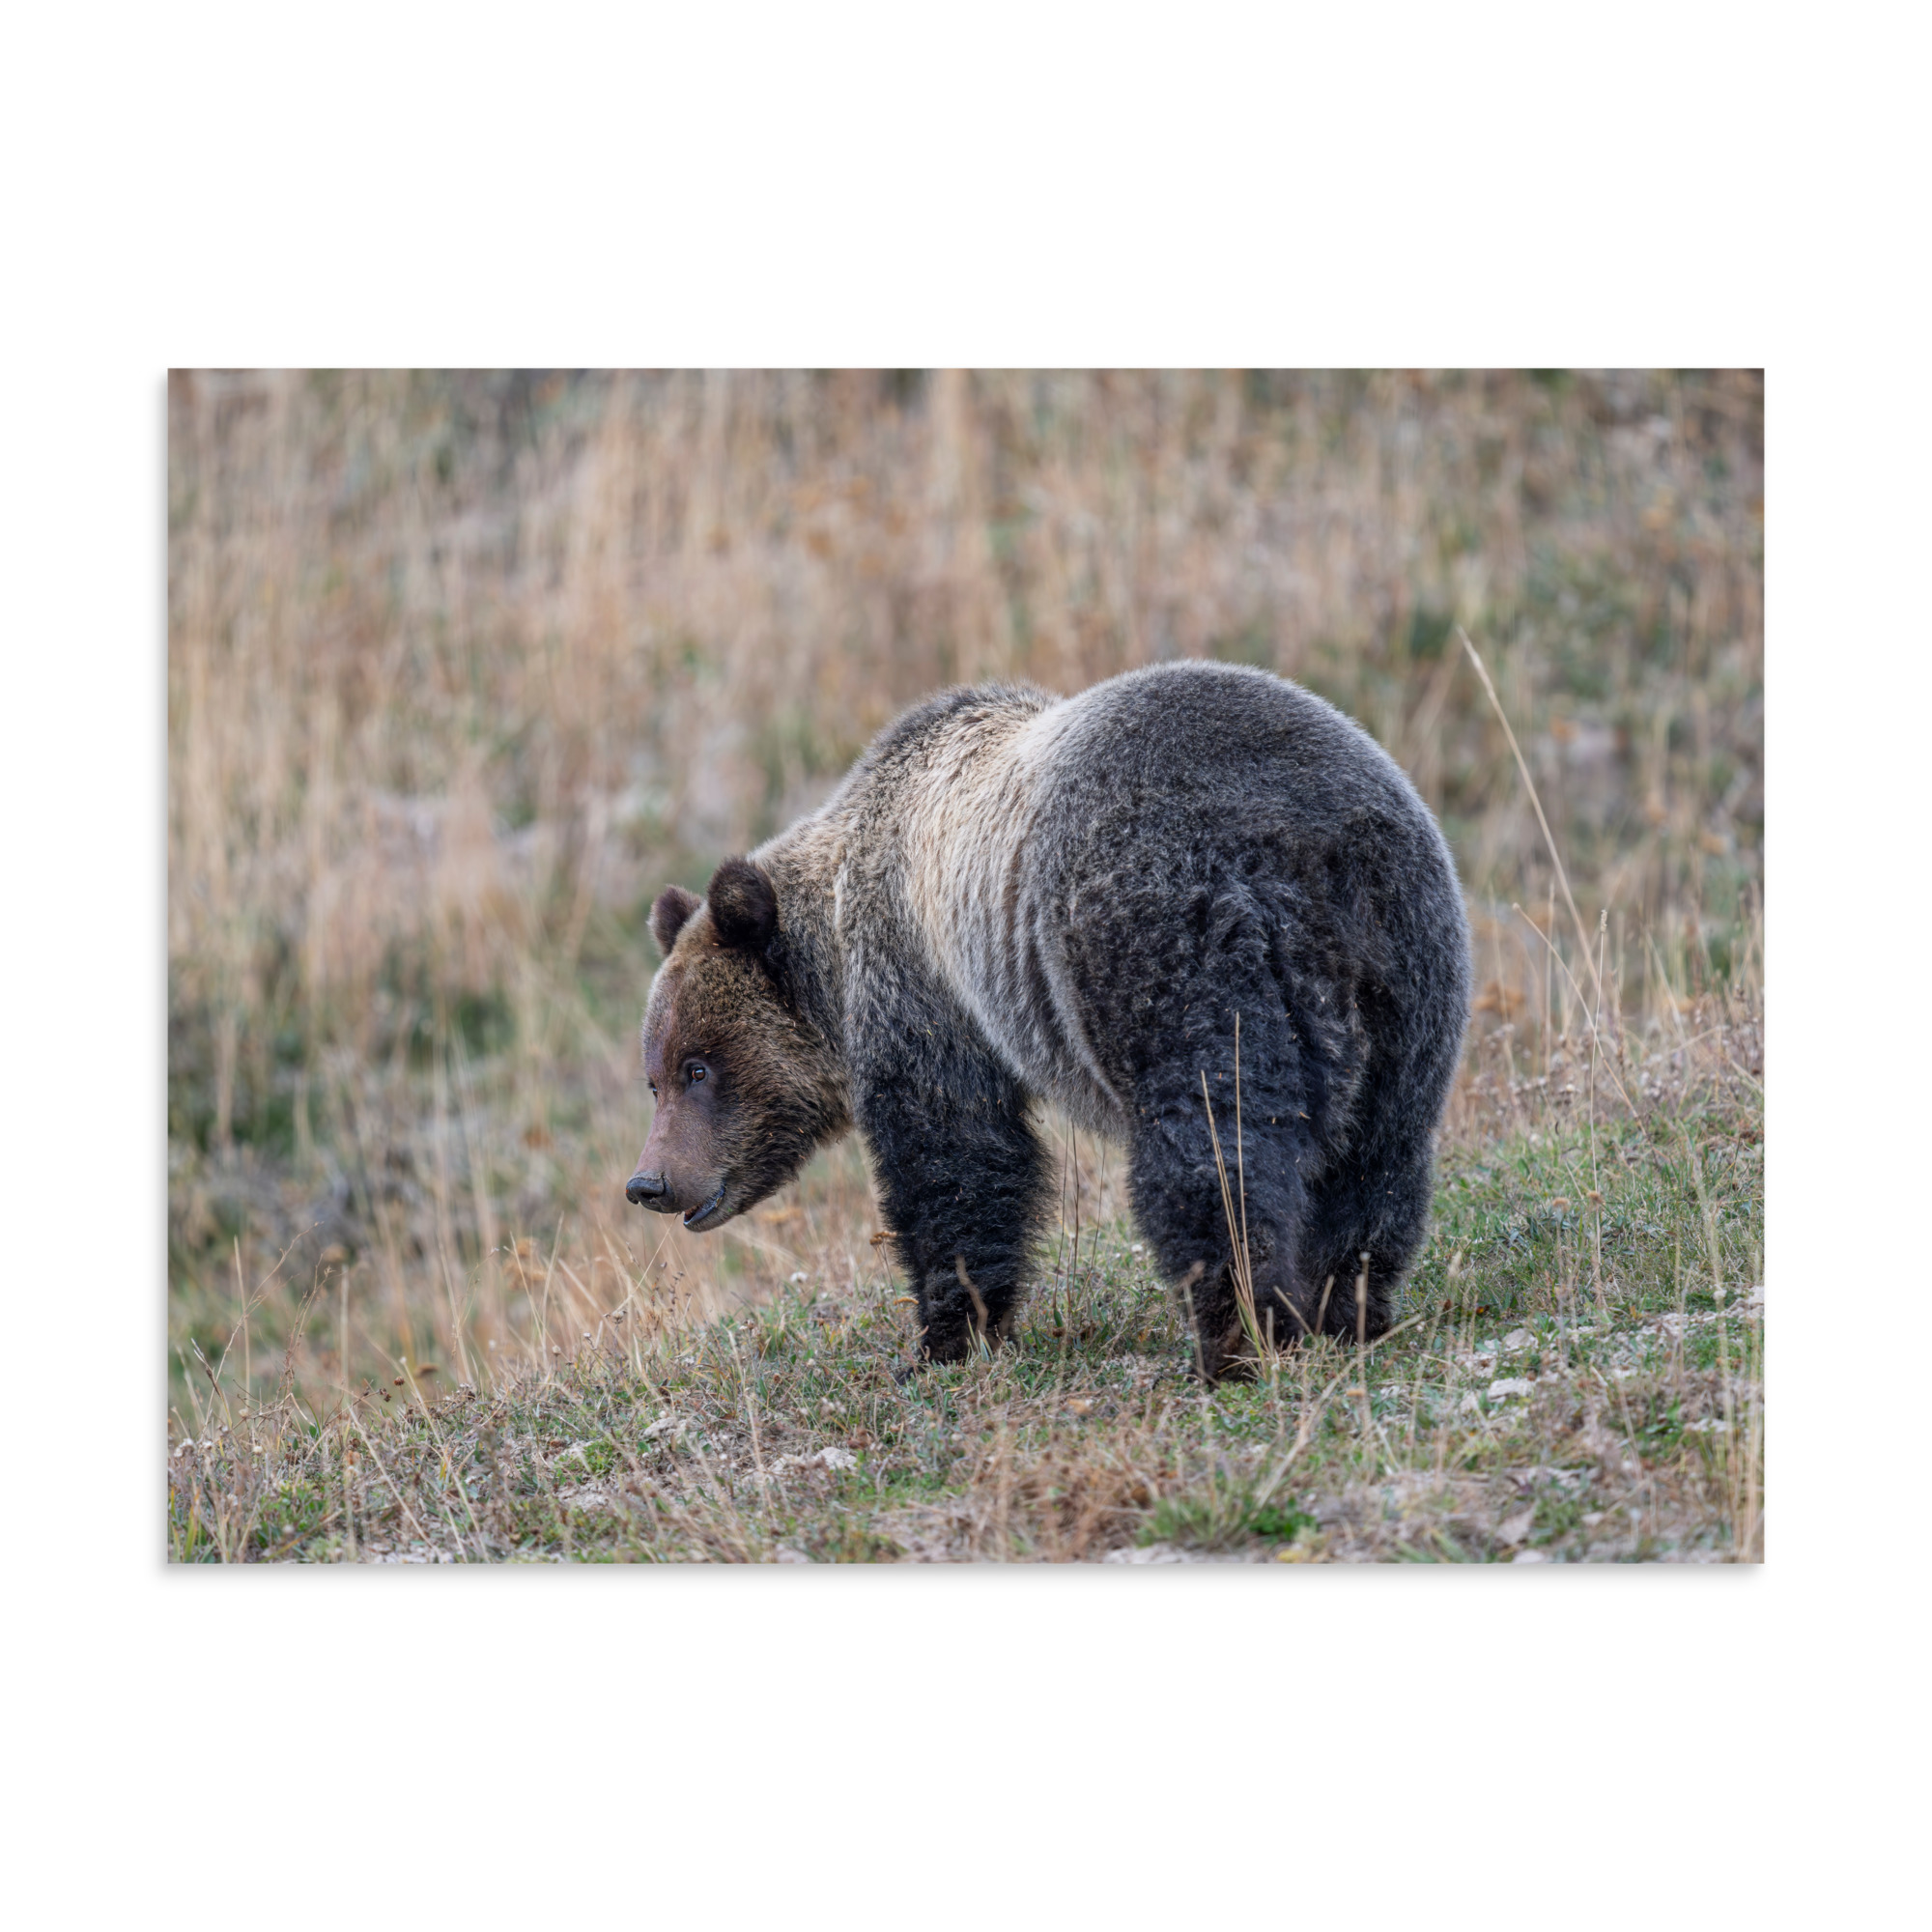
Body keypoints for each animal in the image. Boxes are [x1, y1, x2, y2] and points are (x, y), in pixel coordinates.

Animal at [626, 659, 1471, 1381]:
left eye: (698, 1067)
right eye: (654, 1077)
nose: (649, 1182)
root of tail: (1307, 846)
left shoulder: (925, 988)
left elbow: (956, 1158)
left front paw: (944, 1337)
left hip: (1169, 941)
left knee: (1214, 1148)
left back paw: (1236, 1337)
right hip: (1408, 965)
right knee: (1379, 1153)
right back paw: (1346, 1308)